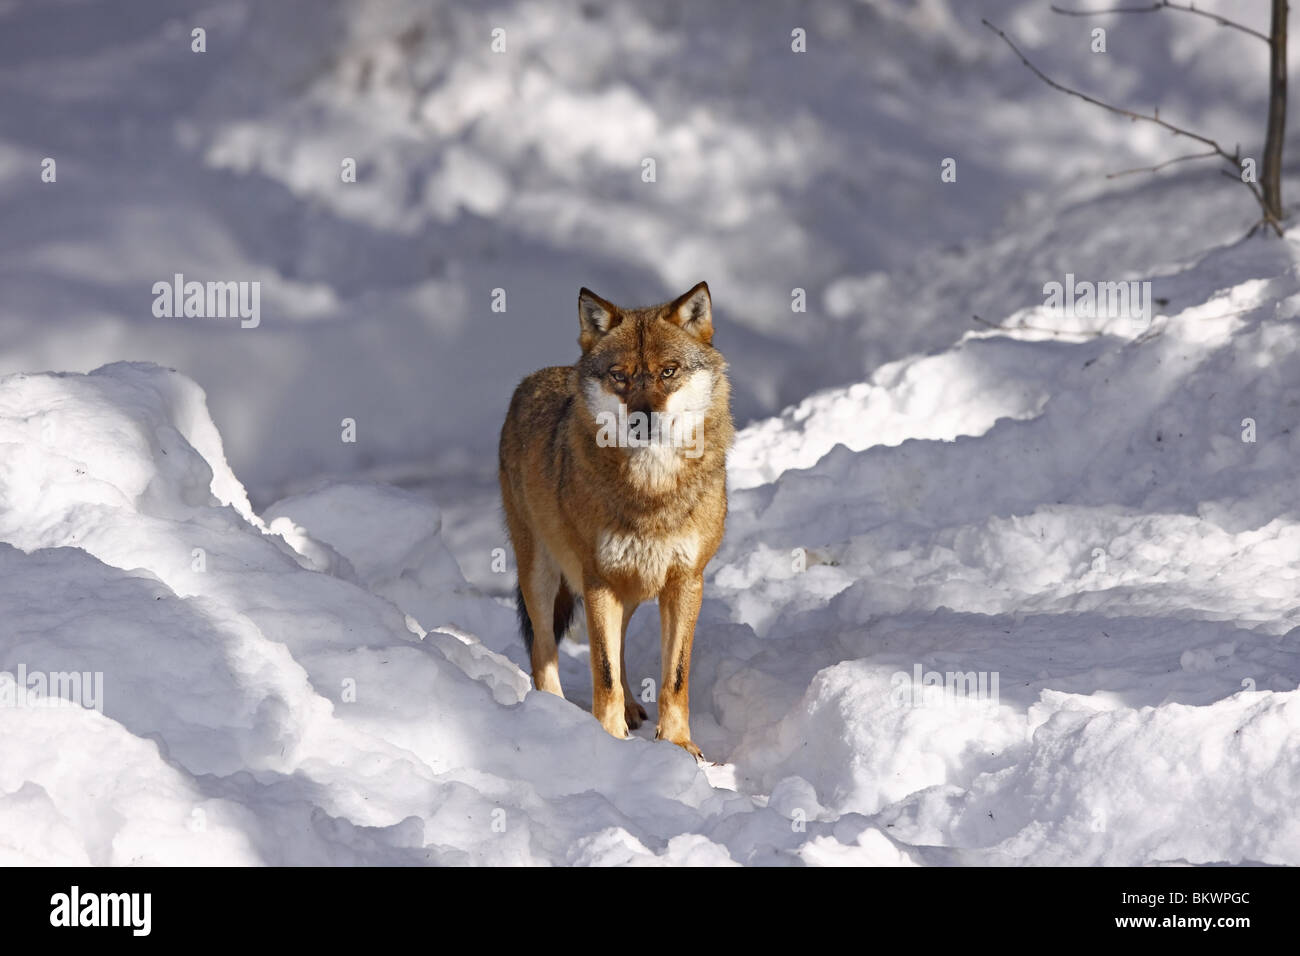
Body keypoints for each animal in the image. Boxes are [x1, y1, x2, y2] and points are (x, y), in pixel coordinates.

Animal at [499, 280, 733, 759]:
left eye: (668, 372)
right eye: (620, 375)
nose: (644, 418)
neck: (652, 492)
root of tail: (530, 381)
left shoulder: (686, 581)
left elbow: (674, 677)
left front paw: (678, 744)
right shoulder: (597, 578)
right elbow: (603, 672)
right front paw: (608, 741)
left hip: (627, 589)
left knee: (617, 643)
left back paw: (631, 710)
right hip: (543, 575)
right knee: (543, 652)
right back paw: (553, 713)